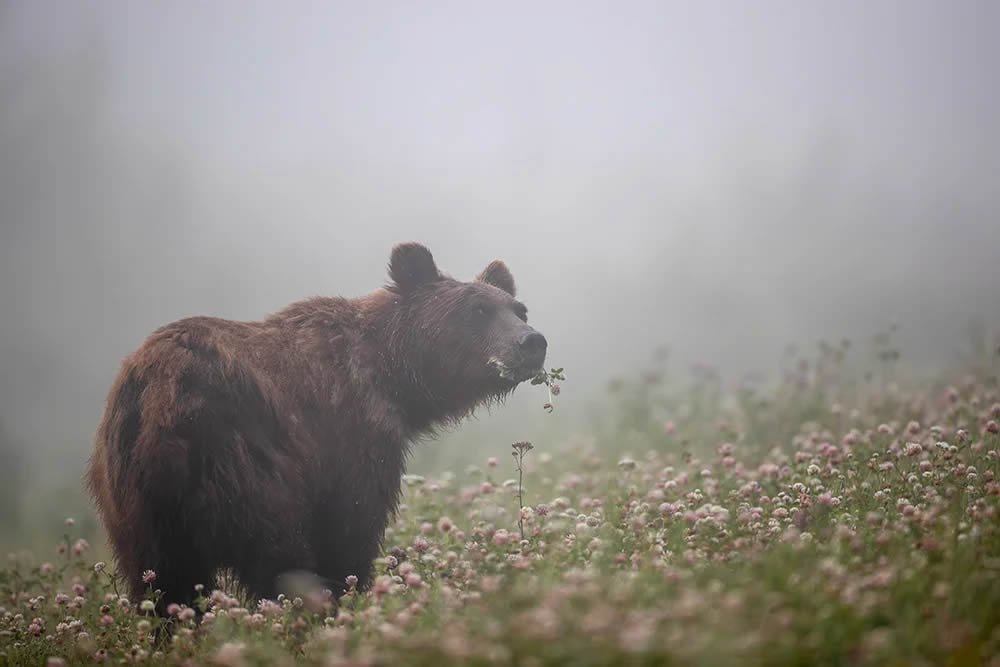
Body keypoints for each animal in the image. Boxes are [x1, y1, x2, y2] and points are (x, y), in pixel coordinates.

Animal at [85, 244, 548, 612]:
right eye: (478, 310)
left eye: (518, 309)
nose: (533, 342)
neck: (393, 376)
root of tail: (158, 391)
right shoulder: (350, 432)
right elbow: (349, 531)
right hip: (238, 456)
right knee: (277, 554)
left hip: (133, 498)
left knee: (162, 582)